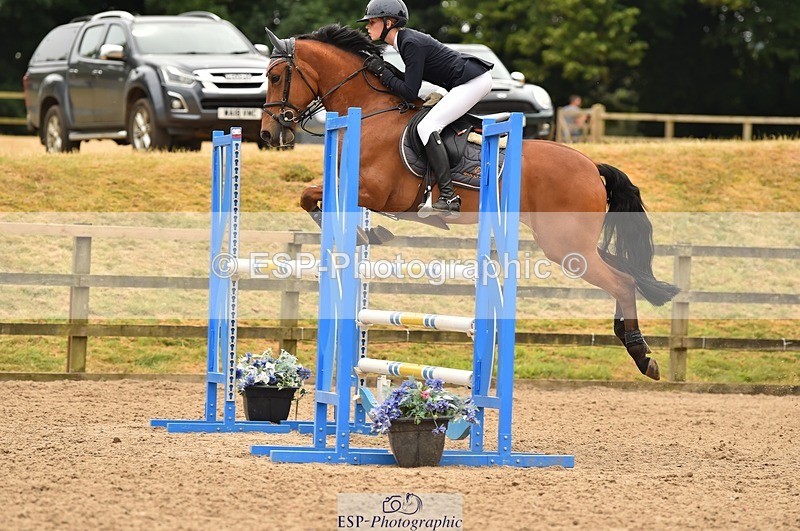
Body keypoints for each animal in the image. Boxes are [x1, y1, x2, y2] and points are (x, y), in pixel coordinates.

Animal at [260, 24, 679, 381]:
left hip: (565, 246)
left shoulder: (378, 193)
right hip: (575, 243)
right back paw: (634, 341)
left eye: (276, 77)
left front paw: (369, 234)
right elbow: (311, 197)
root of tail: (591, 165)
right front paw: (369, 235)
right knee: (626, 274)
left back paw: (642, 356)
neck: (371, 112)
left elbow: (311, 194)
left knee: (623, 281)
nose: (268, 134)